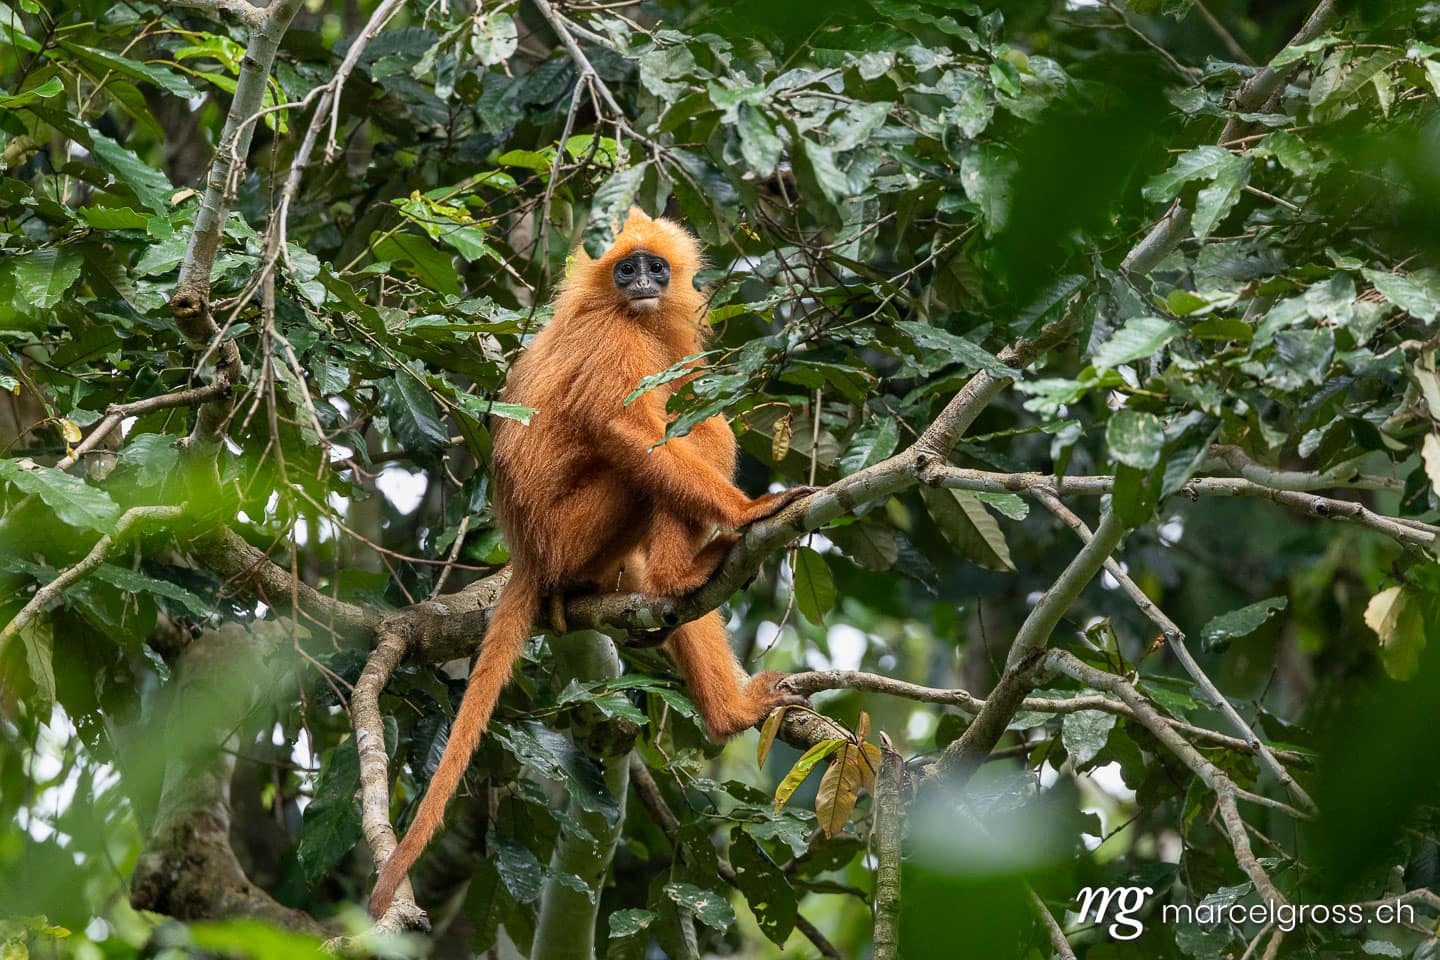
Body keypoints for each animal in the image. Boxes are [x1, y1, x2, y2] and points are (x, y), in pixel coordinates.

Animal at [367, 209, 813, 918]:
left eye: (655, 267)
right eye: (627, 269)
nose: (643, 283)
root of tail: (526, 551)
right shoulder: (614, 334)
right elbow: (623, 428)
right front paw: (747, 513)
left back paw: (725, 709)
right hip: (572, 531)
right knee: (684, 431)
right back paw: (680, 576)